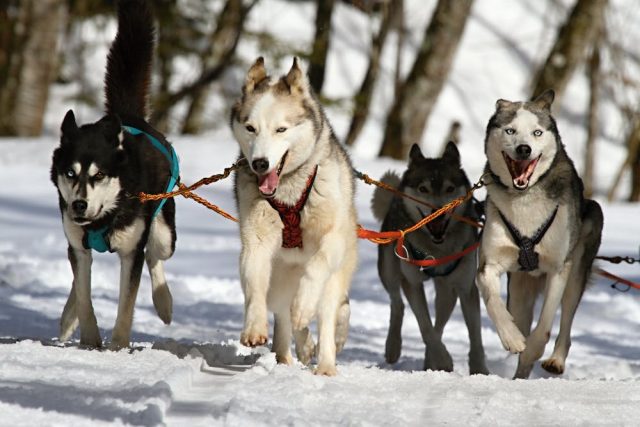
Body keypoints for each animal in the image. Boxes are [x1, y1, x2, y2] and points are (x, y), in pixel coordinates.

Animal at [50, 0, 178, 350]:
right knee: (77, 278)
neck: (103, 217)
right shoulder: (78, 245)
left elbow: (127, 304)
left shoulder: (131, 252)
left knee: (155, 255)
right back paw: (68, 318)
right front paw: (90, 340)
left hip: (164, 233)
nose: (79, 205)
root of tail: (129, 117)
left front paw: (118, 346)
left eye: (99, 175)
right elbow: (84, 294)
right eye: (70, 172)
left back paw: (164, 302)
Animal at [231, 57, 360, 378]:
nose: (260, 163)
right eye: (250, 128)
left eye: (281, 129)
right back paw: (291, 353)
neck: (289, 191)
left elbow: (316, 266)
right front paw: (254, 327)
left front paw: (304, 306)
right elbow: (254, 285)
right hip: (279, 282)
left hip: (336, 275)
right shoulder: (256, 241)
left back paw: (325, 364)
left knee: (328, 314)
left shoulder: (332, 240)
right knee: (283, 316)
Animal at [372, 144, 488, 374]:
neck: (437, 249)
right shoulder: (412, 283)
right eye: (423, 189)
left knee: (440, 322)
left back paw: (429, 361)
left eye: (450, 189)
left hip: (447, 291)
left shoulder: (466, 287)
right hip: (389, 270)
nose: (438, 212)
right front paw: (443, 360)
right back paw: (393, 347)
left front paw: (479, 369)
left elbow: (475, 335)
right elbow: (425, 326)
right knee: (397, 304)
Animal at [478, 89, 604, 378]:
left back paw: (555, 360)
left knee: (566, 322)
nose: (524, 149)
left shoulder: (558, 268)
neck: (524, 199)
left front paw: (533, 348)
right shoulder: (489, 264)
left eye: (537, 132)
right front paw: (512, 338)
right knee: (520, 316)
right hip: (519, 290)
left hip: (578, 267)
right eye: (510, 130)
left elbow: (545, 325)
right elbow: (493, 300)